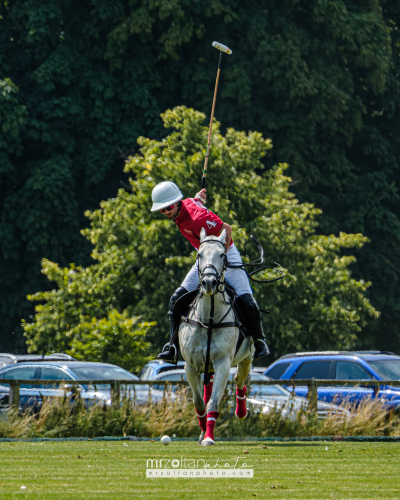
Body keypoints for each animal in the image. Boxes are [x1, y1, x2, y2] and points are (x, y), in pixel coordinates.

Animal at [179, 229, 252, 448]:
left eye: (222, 255)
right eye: (199, 254)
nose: (209, 283)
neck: (209, 319)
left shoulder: (222, 363)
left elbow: (212, 402)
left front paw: (209, 437)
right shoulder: (190, 365)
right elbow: (199, 402)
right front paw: (203, 431)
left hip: (247, 357)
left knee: (239, 379)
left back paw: (241, 412)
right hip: (206, 366)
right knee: (207, 388)